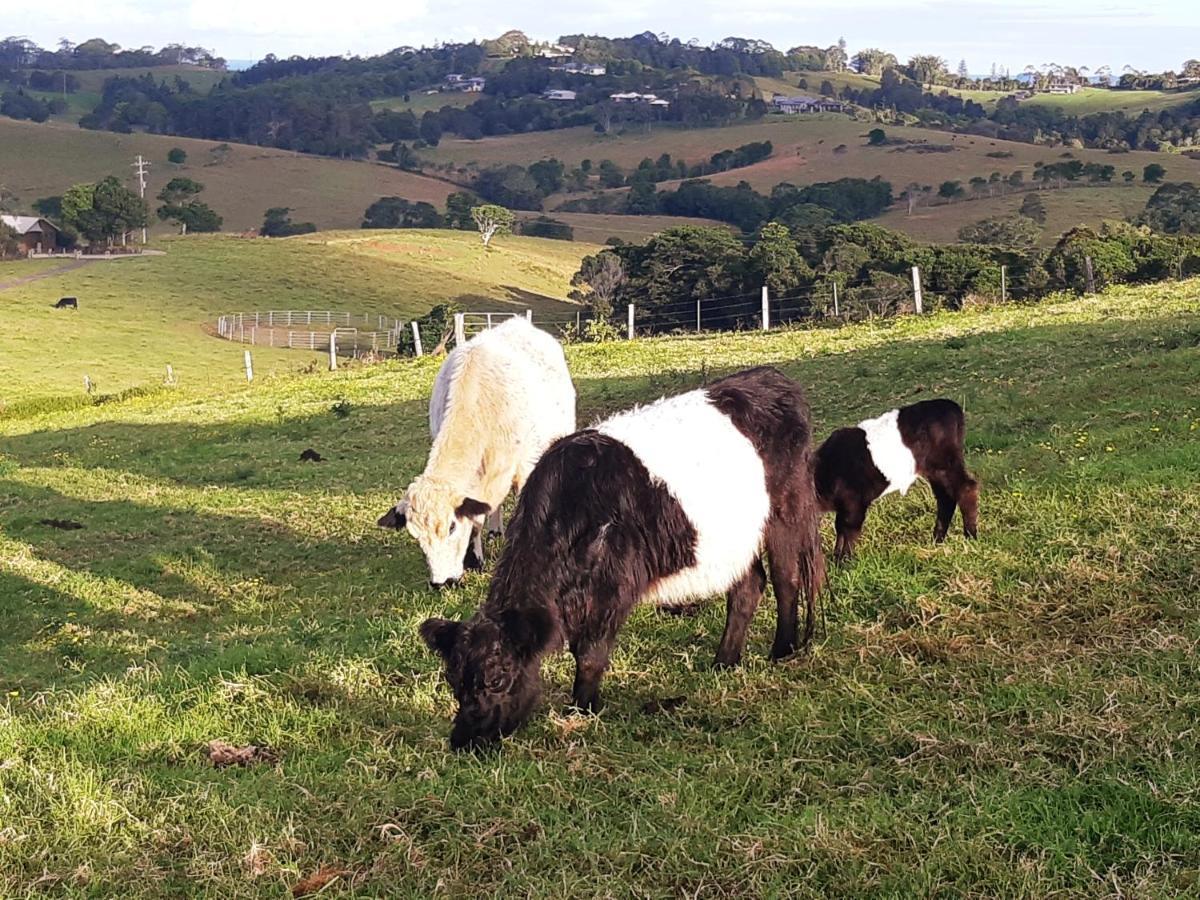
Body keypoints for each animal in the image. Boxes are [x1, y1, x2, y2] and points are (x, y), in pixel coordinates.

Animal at [420, 367, 825, 753]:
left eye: (497, 678)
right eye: (453, 681)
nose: (464, 740)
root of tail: (772, 378)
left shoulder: (611, 589)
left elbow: (589, 653)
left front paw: (582, 711)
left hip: (785, 510)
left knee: (786, 577)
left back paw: (782, 651)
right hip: (733, 539)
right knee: (748, 587)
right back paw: (723, 662)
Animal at [811, 398, 979, 561]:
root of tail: (951, 406)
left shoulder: (854, 501)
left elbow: (847, 529)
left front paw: (844, 561)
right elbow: (840, 528)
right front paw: (836, 558)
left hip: (945, 464)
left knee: (966, 488)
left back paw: (970, 537)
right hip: (935, 471)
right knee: (946, 499)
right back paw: (937, 540)